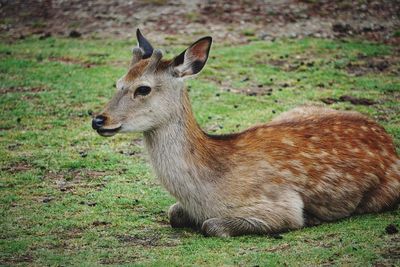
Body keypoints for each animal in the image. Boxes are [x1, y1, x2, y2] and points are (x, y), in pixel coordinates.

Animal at [91, 29, 400, 239]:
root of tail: (385, 134)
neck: (205, 193)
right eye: (118, 83)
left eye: (143, 88)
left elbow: (212, 225)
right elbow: (173, 213)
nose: (98, 120)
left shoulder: (283, 205)